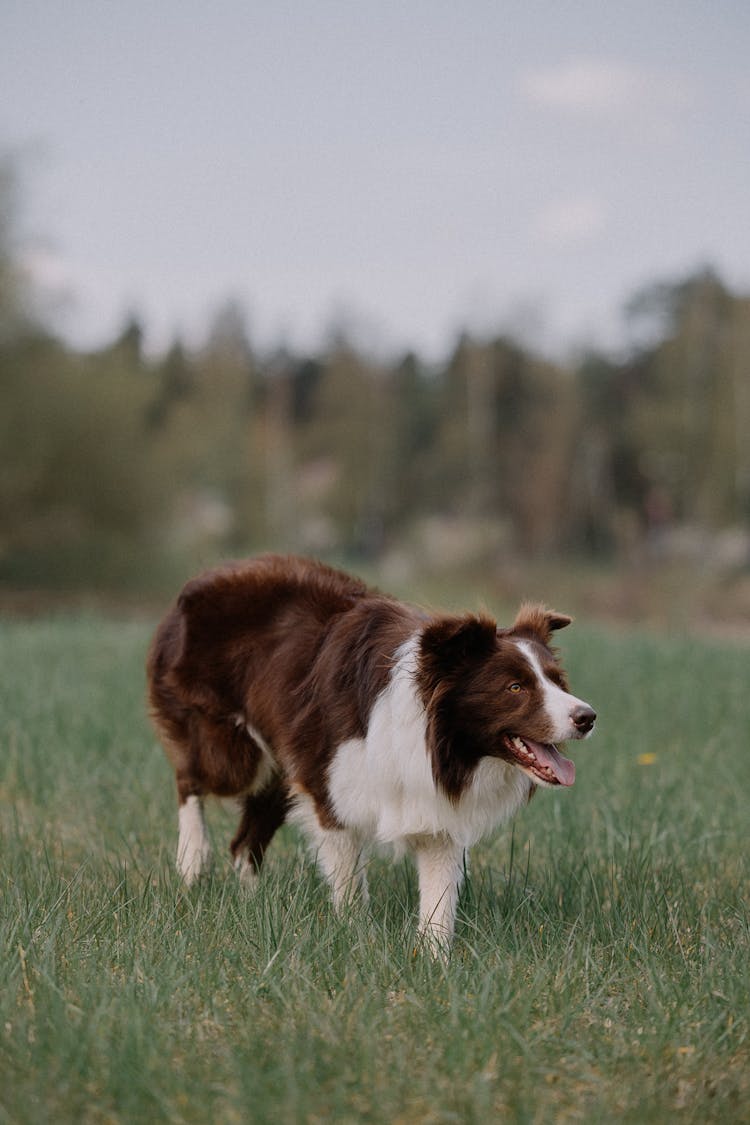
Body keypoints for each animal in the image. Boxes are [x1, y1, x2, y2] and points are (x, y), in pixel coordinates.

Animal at [146, 553, 593, 949]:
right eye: (515, 687)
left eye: (556, 681)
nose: (587, 717)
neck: (439, 738)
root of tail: (204, 578)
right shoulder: (330, 785)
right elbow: (347, 878)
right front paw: (355, 935)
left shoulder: (432, 804)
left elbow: (438, 893)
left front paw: (434, 960)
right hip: (237, 753)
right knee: (190, 780)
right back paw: (191, 860)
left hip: (279, 771)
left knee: (244, 843)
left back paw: (251, 903)